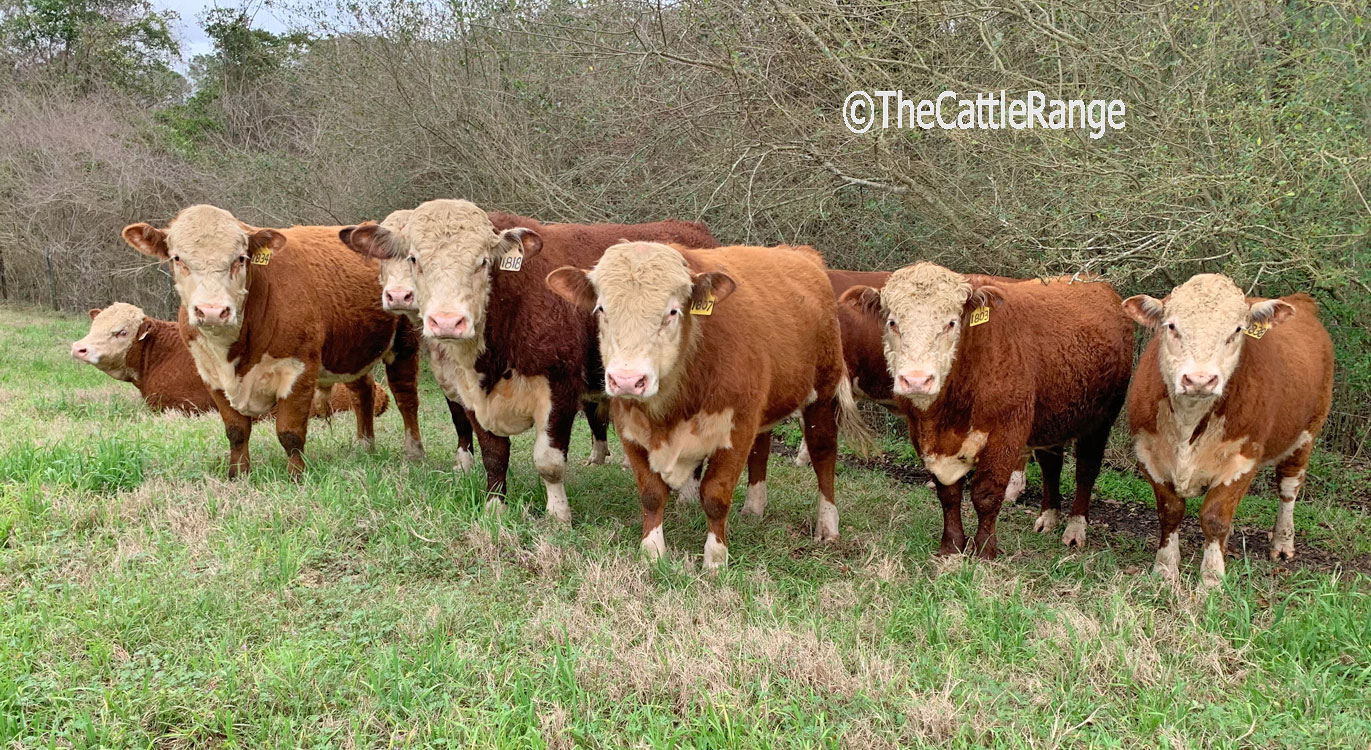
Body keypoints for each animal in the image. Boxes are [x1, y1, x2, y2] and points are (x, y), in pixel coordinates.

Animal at [120, 205, 425, 479]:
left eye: (240, 258)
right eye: (177, 258)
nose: (212, 311)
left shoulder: (299, 368)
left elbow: (289, 432)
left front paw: (296, 476)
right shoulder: (210, 375)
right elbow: (236, 431)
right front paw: (238, 475)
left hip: (405, 342)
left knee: (406, 397)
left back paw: (414, 453)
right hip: (352, 348)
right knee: (363, 392)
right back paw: (365, 446)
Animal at [343, 200, 719, 523]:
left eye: (482, 261)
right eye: (414, 258)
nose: (447, 322)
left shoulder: (560, 386)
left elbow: (548, 460)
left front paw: (558, 516)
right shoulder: (468, 392)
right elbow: (493, 454)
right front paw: (495, 508)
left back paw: (687, 496)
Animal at [547, 241, 874, 569]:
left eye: (673, 311)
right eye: (602, 309)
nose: (628, 380)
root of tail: (801, 254)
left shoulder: (737, 427)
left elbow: (715, 495)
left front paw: (715, 560)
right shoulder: (630, 427)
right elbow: (651, 493)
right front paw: (652, 552)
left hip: (822, 393)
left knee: (823, 454)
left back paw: (828, 525)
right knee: (761, 450)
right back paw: (754, 509)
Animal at [840, 263, 1133, 558]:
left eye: (951, 323)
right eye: (892, 322)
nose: (917, 380)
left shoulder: (1007, 430)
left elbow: (987, 494)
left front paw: (984, 550)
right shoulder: (923, 434)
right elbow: (948, 494)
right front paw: (951, 545)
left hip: (1102, 417)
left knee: (1087, 469)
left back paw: (1075, 529)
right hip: (1053, 416)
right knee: (1051, 465)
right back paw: (1048, 518)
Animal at [1122, 274, 1334, 590]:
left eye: (1236, 330)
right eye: (1171, 326)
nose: (1200, 380)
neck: (1188, 422)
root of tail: (1301, 301)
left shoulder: (1242, 458)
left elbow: (1214, 517)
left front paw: (1211, 578)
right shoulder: (1148, 452)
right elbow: (1170, 511)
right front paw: (1166, 569)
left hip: (1306, 435)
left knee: (1288, 489)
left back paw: (1282, 543)